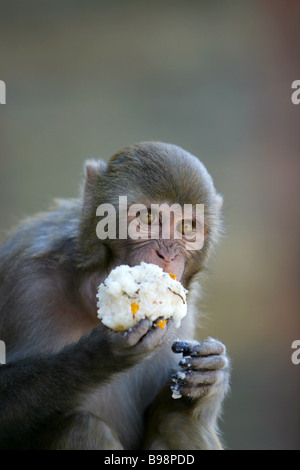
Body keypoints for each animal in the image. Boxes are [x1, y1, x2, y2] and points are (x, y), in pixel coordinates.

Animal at [0, 141, 230, 450]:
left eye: (187, 227)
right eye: (147, 217)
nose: (168, 255)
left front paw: (210, 378)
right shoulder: (24, 282)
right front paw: (99, 355)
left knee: (177, 422)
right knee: (82, 425)